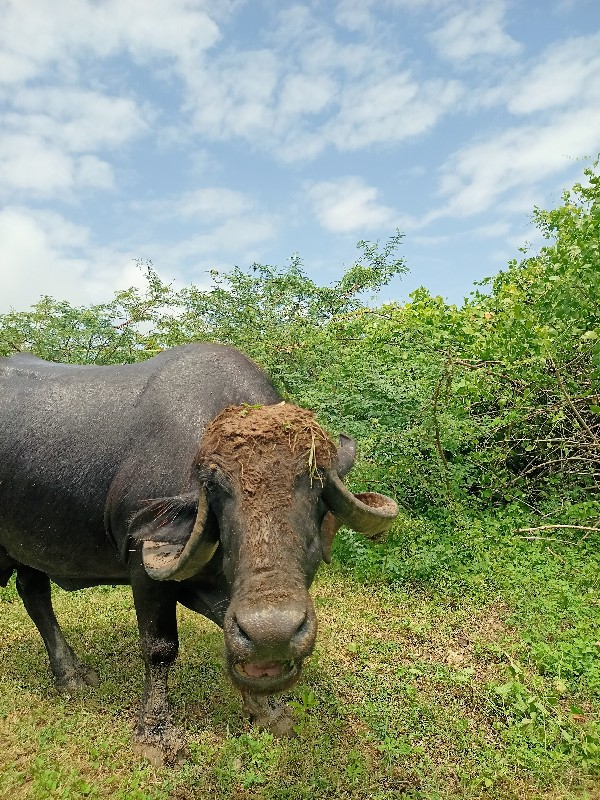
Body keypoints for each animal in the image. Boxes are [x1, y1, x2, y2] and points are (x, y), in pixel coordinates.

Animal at [1, 342, 398, 764]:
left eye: (316, 489)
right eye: (218, 493)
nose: (271, 633)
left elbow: (229, 627)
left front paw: (268, 710)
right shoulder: (146, 567)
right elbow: (159, 648)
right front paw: (155, 734)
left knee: (33, 593)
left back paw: (71, 674)